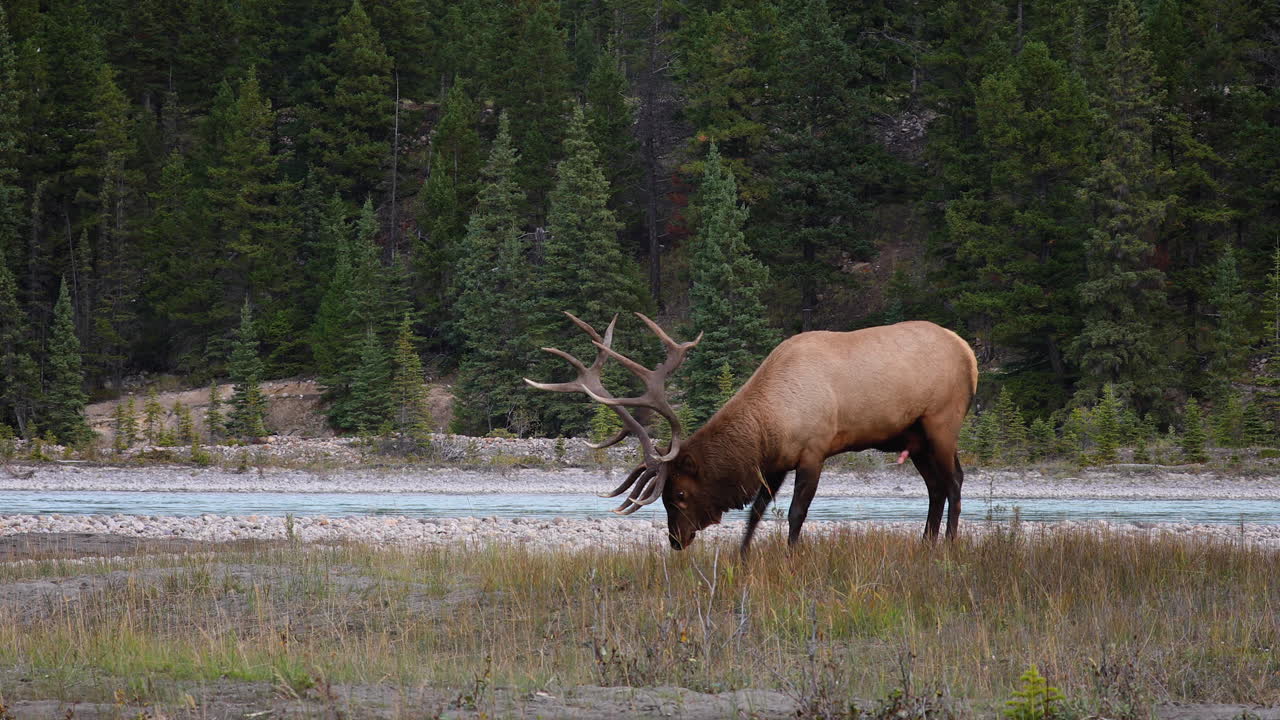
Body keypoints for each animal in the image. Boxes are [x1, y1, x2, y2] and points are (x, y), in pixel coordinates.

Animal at [525, 312, 978, 553]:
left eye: (680, 494)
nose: (675, 541)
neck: (771, 421)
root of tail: (968, 352)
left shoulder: (814, 451)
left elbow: (796, 513)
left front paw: (791, 556)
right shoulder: (774, 462)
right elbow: (756, 512)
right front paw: (742, 556)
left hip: (942, 420)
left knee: (954, 480)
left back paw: (949, 543)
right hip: (915, 438)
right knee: (936, 486)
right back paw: (926, 542)